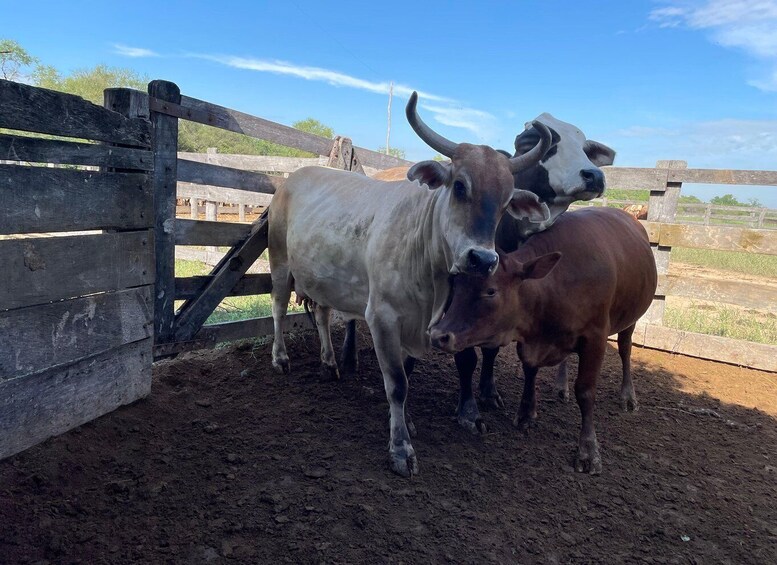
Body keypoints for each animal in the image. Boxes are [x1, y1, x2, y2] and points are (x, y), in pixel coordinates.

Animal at [268, 92, 553, 477]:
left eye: (507, 201)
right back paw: (281, 358)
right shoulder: (383, 318)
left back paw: (329, 364)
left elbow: (407, 373)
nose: (483, 259)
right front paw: (401, 448)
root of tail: (293, 177)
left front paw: (409, 423)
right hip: (279, 259)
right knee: (278, 307)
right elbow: (397, 384)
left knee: (323, 313)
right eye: (460, 186)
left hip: (322, 276)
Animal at [428, 207, 658, 474]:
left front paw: (588, 451)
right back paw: (561, 386)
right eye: (456, 285)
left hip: (631, 319)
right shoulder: (531, 338)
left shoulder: (596, 337)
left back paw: (628, 396)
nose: (439, 335)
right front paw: (527, 413)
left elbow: (585, 391)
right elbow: (530, 370)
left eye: (491, 291)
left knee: (625, 350)